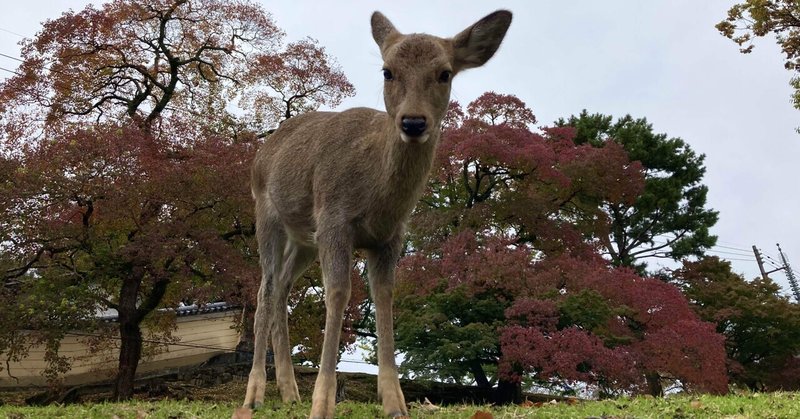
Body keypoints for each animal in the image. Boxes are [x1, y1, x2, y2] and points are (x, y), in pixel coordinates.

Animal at [239, 9, 512, 419]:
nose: (413, 122)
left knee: (284, 286)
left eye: (445, 73)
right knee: (266, 290)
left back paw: (289, 393)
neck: (377, 199)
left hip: (305, 239)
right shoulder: (334, 220)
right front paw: (323, 403)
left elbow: (384, 296)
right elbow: (338, 293)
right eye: (388, 71)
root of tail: (264, 149)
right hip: (267, 213)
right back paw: (254, 395)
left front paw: (395, 402)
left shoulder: (391, 236)